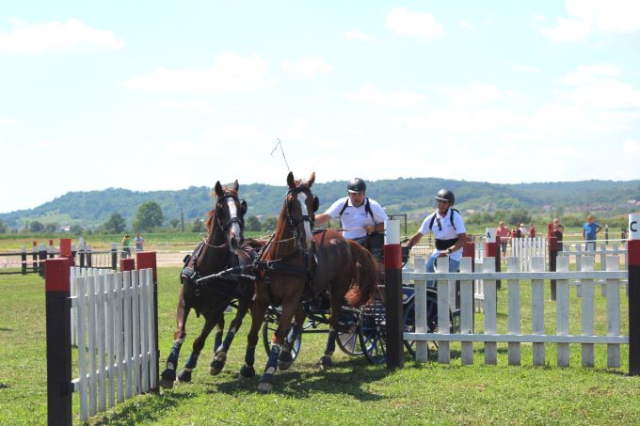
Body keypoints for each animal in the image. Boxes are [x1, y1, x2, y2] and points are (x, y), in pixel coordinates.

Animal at [160, 178, 258, 388]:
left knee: (235, 324)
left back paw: (220, 358)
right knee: (223, 324)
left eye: (241, 208)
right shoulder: (185, 301)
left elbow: (199, 340)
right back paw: (217, 354)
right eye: (221, 208)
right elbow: (180, 333)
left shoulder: (215, 310)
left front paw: (186, 371)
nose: (236, 238)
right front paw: (168, 371)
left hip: (246, 300)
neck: (207, 270)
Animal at [239, 171, 380, 392]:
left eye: (313, 202)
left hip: (336, 290)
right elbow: (253, 333)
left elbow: (279, 333)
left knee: (333, 319)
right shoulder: (261, 299)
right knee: (302, 316)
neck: (280, 258)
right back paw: (286, 355)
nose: (306, 238)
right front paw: (247, 368)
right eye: (291, 201)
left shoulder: (289, 299)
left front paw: (268, 375)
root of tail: (346, 241)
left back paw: (326, 356)